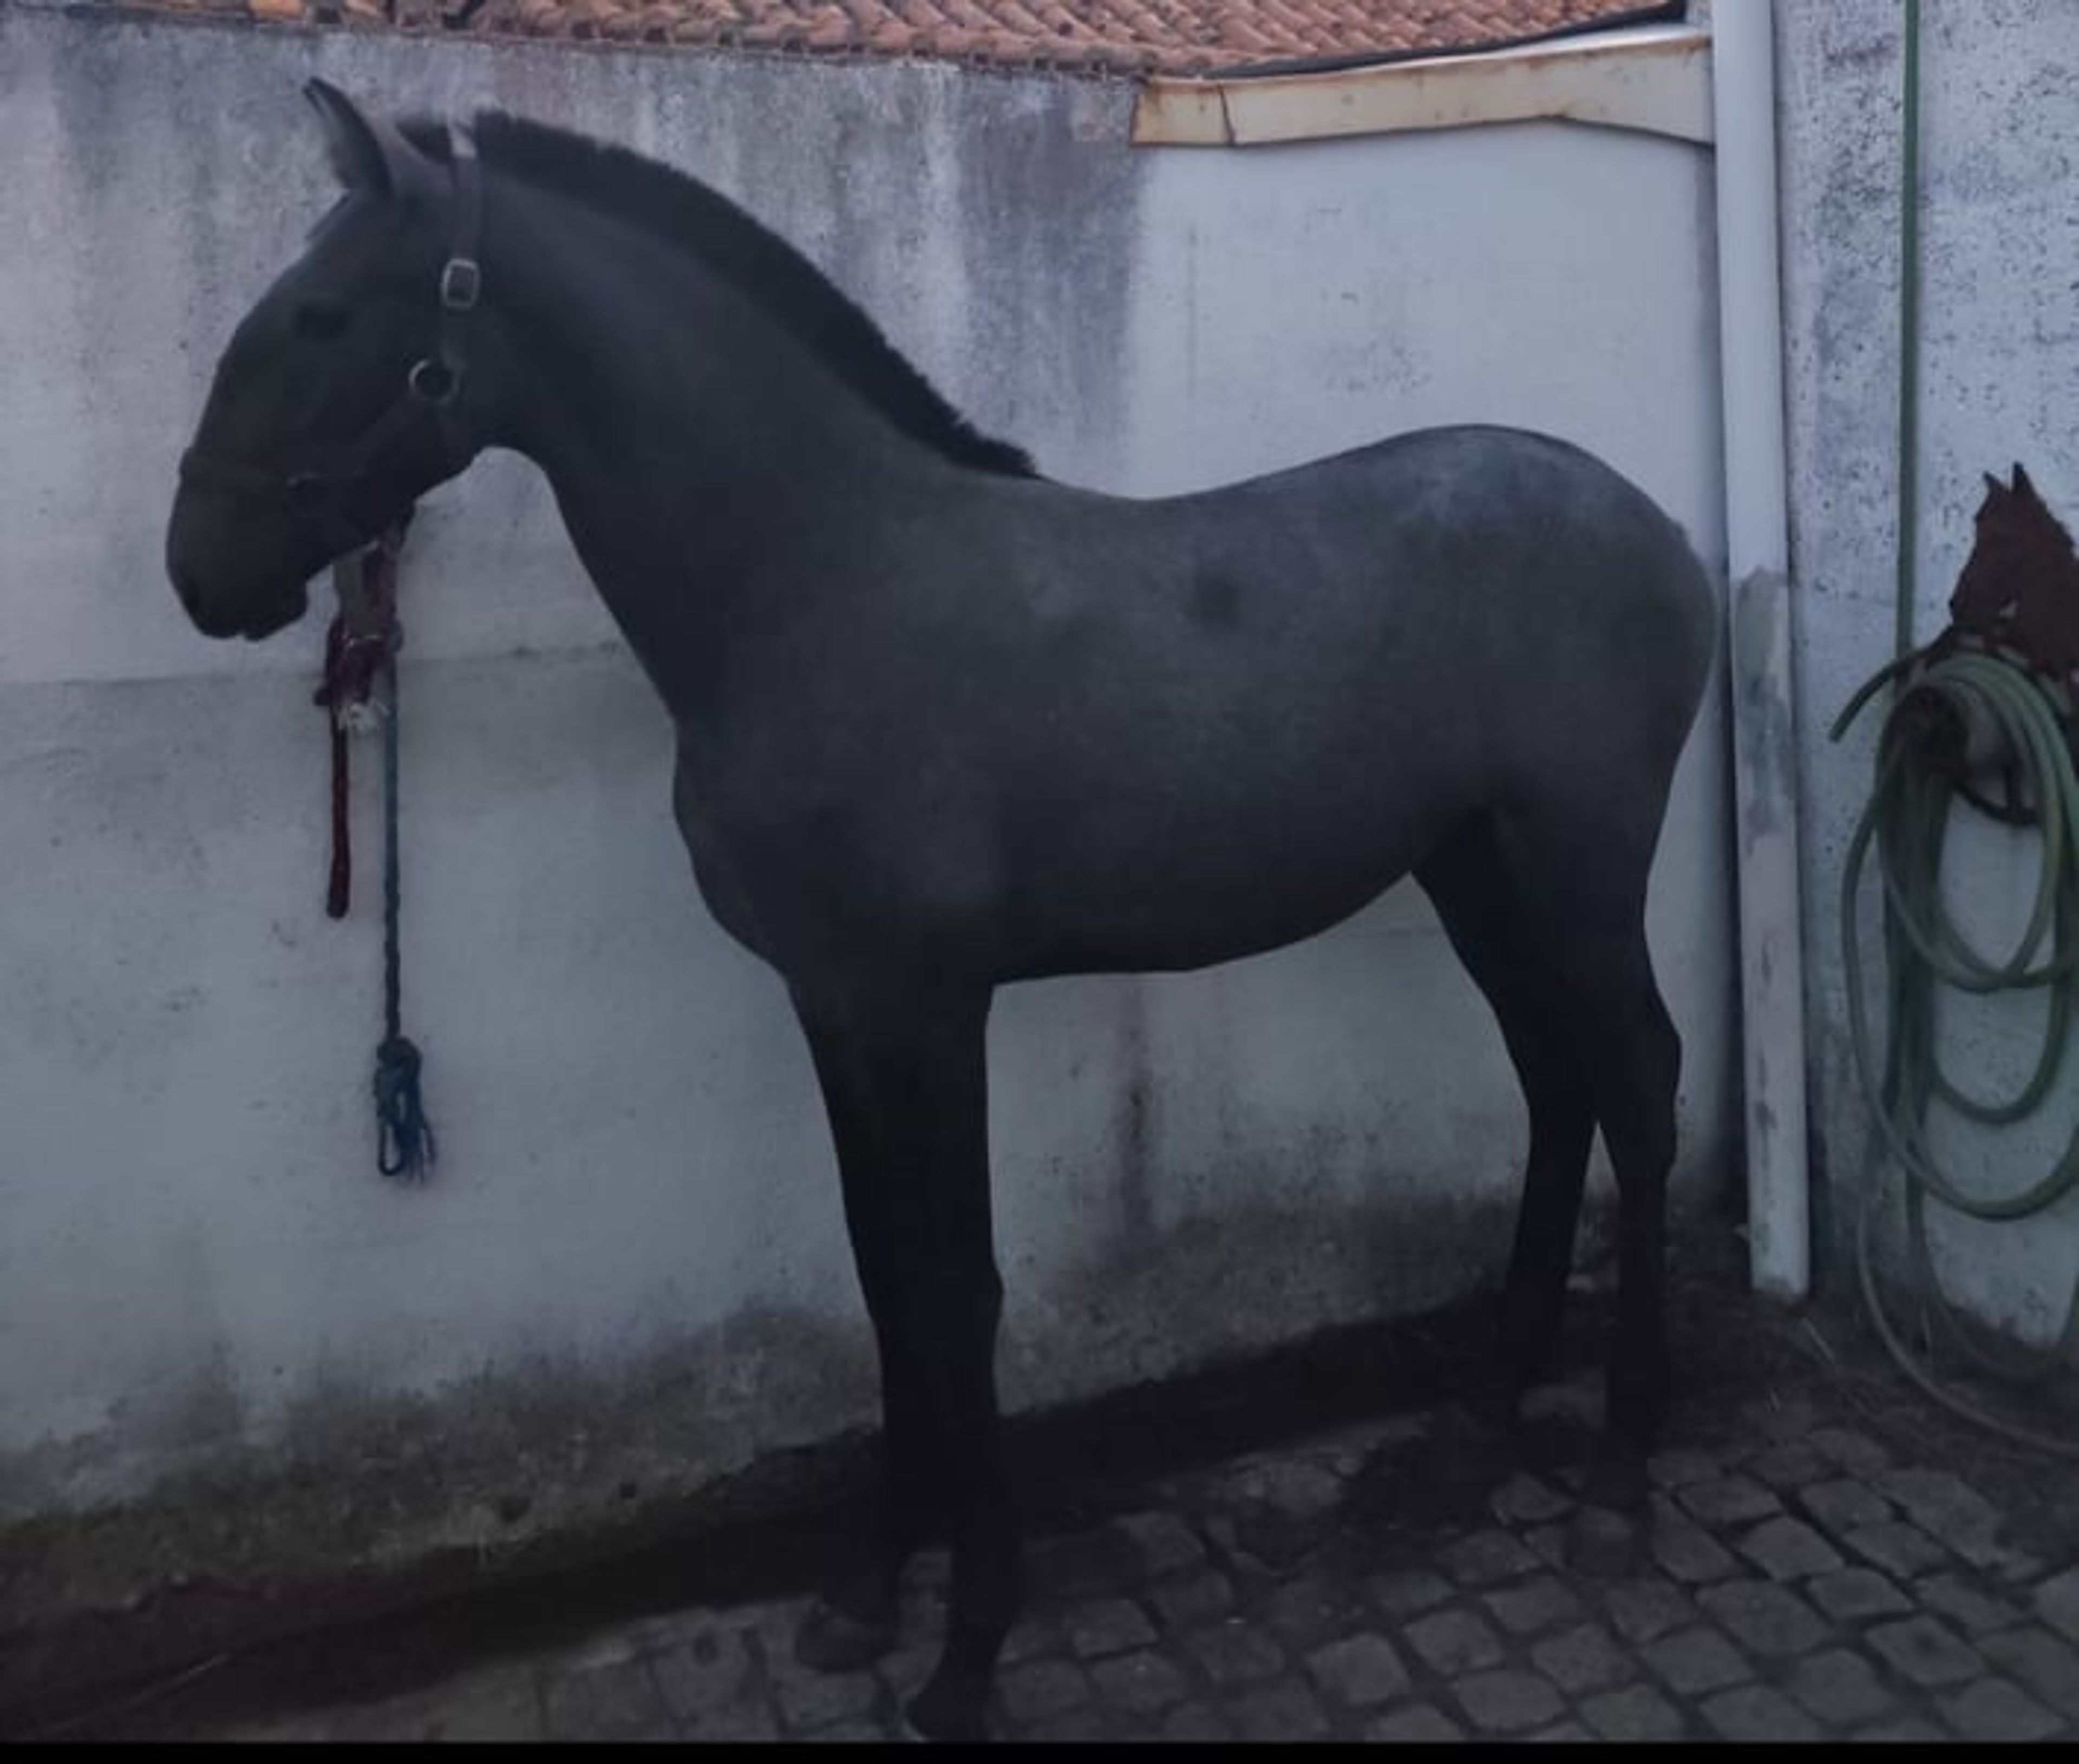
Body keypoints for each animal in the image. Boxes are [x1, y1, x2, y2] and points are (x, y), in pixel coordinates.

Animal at [165, 82, 1715, 1741]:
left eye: (322, 315)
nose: (199, 572)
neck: (820, 580)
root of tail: (1658, 526)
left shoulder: (927, 1004)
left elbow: (955, 1286)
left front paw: (969, 1645)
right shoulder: (833, 1001)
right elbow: (878, 1271)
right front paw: (865, 1594)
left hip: (1579, 871)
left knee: (1637, 1085)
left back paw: (1621, 1475)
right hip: (1474, 870)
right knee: (1556, 1087)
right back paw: (1484, 1421)